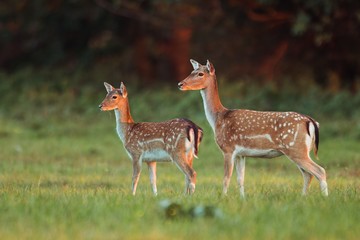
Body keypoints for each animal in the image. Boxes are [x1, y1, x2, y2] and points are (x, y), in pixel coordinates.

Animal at [178, 59, 330, 197]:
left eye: (200, 74)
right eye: (192, 71)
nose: (180, 84)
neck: (218, 118)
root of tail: (311, 121)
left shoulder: (228, 148)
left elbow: (226, 178)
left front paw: (223, 198)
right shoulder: (241, 154)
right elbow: (240, 179)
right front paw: (242, 199)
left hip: (296, 148)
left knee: (320, 171)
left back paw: (325, 197)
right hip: (300, 150)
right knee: (308, 174)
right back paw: (303, 197)